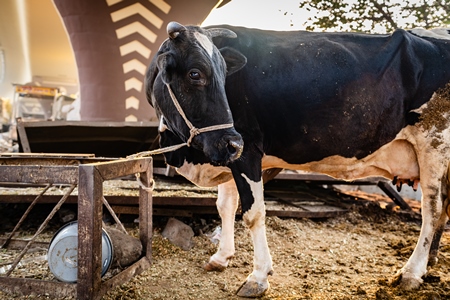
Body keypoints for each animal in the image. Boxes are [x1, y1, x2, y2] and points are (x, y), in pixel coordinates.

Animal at [146, 22, 450, 296]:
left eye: (223, 76)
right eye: (195, 73)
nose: (234, 142)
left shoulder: (247, 150)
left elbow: (253, 214)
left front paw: (258, 277)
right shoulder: (227, 151)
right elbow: (225, 206)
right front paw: (221, 258)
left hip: (434, 144)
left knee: (432, 210)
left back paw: (411, 273)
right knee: (444, 205)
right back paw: (431, 261)